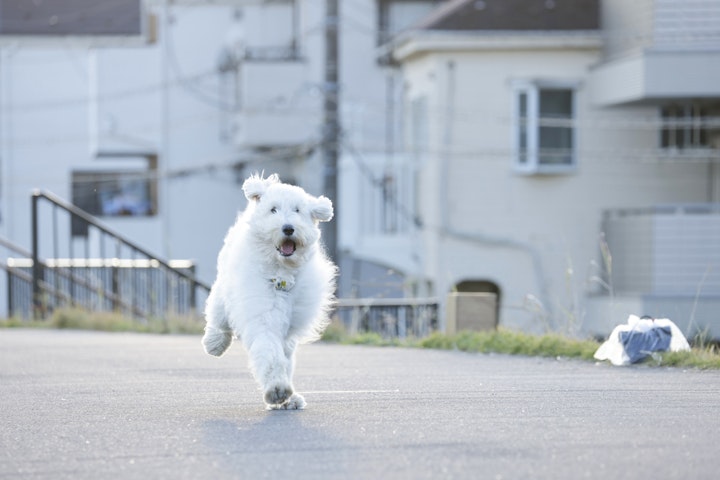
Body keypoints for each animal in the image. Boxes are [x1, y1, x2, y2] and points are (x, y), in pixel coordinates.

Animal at [202, 172, 338, 408]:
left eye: (297, 210)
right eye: (273, 210)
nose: (288, 228)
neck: (281, 273)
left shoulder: (290, 329)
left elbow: (284, 358)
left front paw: (287, 399)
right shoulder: (263, 315)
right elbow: (270, 353)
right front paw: (277, 390)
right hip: (224, 288)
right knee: (218, 316)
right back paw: (214, 343)